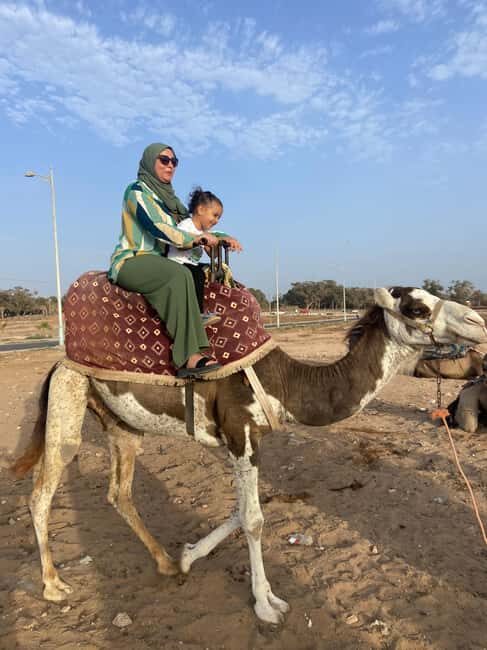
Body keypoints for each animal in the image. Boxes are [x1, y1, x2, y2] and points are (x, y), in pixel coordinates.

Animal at [12, 287, 487, 624]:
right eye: (417, 308)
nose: (477, 321)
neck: (286, 382)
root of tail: (58, 362)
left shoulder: (237, 441)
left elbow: (242, 512)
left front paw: (189, 555)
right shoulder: (240, 432)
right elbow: (255, 520)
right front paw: (266, 605)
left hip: (121, 426)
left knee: (119, 493)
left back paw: (165, 563)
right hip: (68, 400)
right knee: (41, 491)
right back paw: (53, 585)